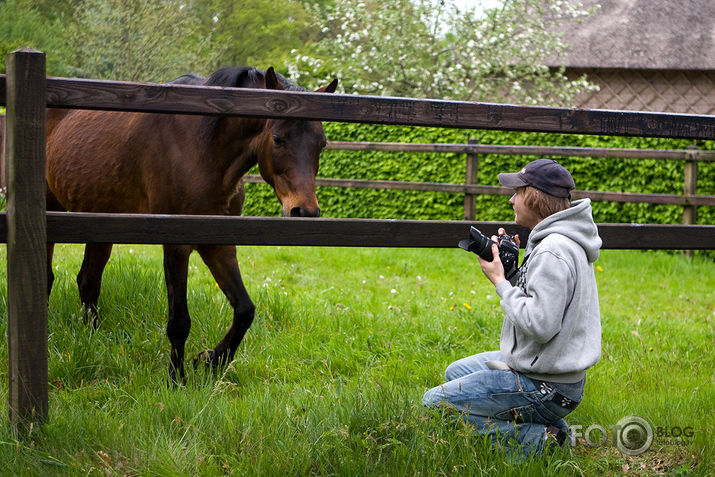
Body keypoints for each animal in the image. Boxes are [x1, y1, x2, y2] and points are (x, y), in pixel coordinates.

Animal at [42, 67, 338, 384]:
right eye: (278, 138)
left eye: (322, 143)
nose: (304, 210)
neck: (202, 147)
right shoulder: (177, 244)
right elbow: (179, 322)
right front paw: (176, 379)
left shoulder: (218, 244)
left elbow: (245, 310)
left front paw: (211, 359)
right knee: (49, 278)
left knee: (88, 281)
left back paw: (93, 337)